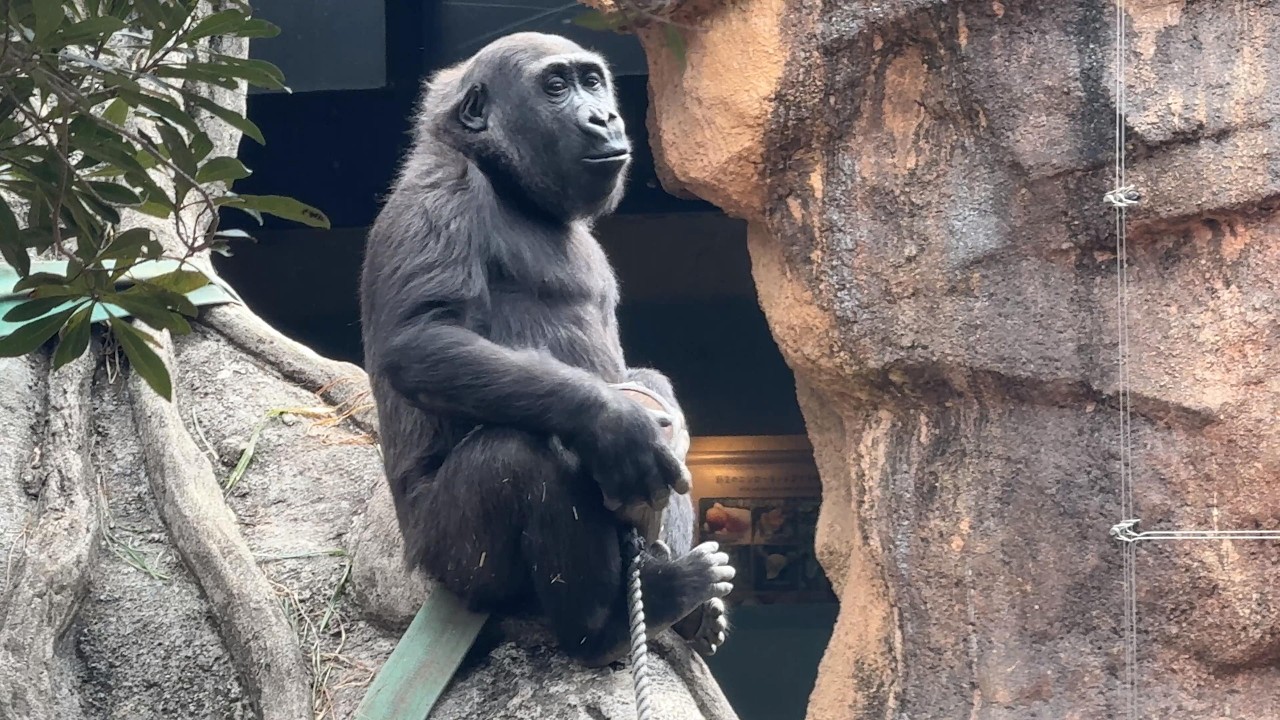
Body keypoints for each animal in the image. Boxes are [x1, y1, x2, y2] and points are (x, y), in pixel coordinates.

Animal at [359, 32, 731, 666]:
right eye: (556, 86)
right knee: (521, 454)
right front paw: (613, 422)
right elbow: (422, 338)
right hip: (448, 563)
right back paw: (606, 626)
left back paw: (682, 610)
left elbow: (642, 379)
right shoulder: (439, 198)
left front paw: (647, 418)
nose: (603, 116)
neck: (509, 184)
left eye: (592, 82)